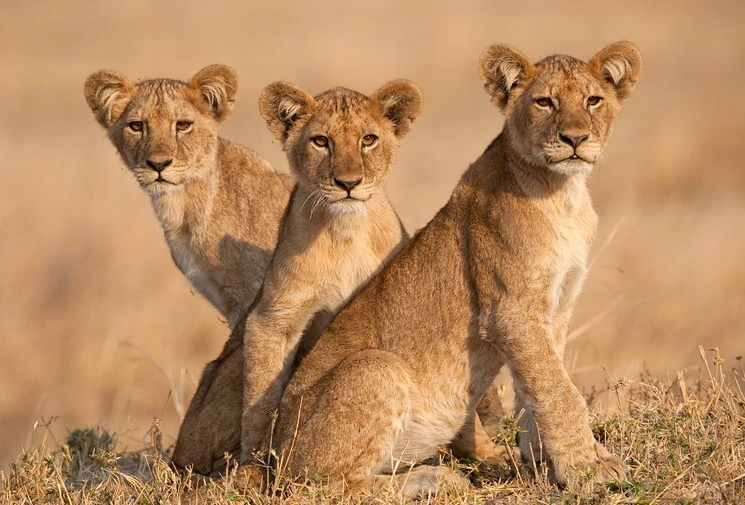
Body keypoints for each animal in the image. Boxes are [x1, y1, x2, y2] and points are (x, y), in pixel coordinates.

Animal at [259, 41, 641, 497]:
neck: (564, 193)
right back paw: (435, 478)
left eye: (593, 100)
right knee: (319, 486)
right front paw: (589, 469)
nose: (575, 138)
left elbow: (537, 387)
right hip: (374, 370)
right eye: (544, 102)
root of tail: (272, 453)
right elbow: (558, 391)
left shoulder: (558, 306)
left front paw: (541, 463)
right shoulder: (511, 311)